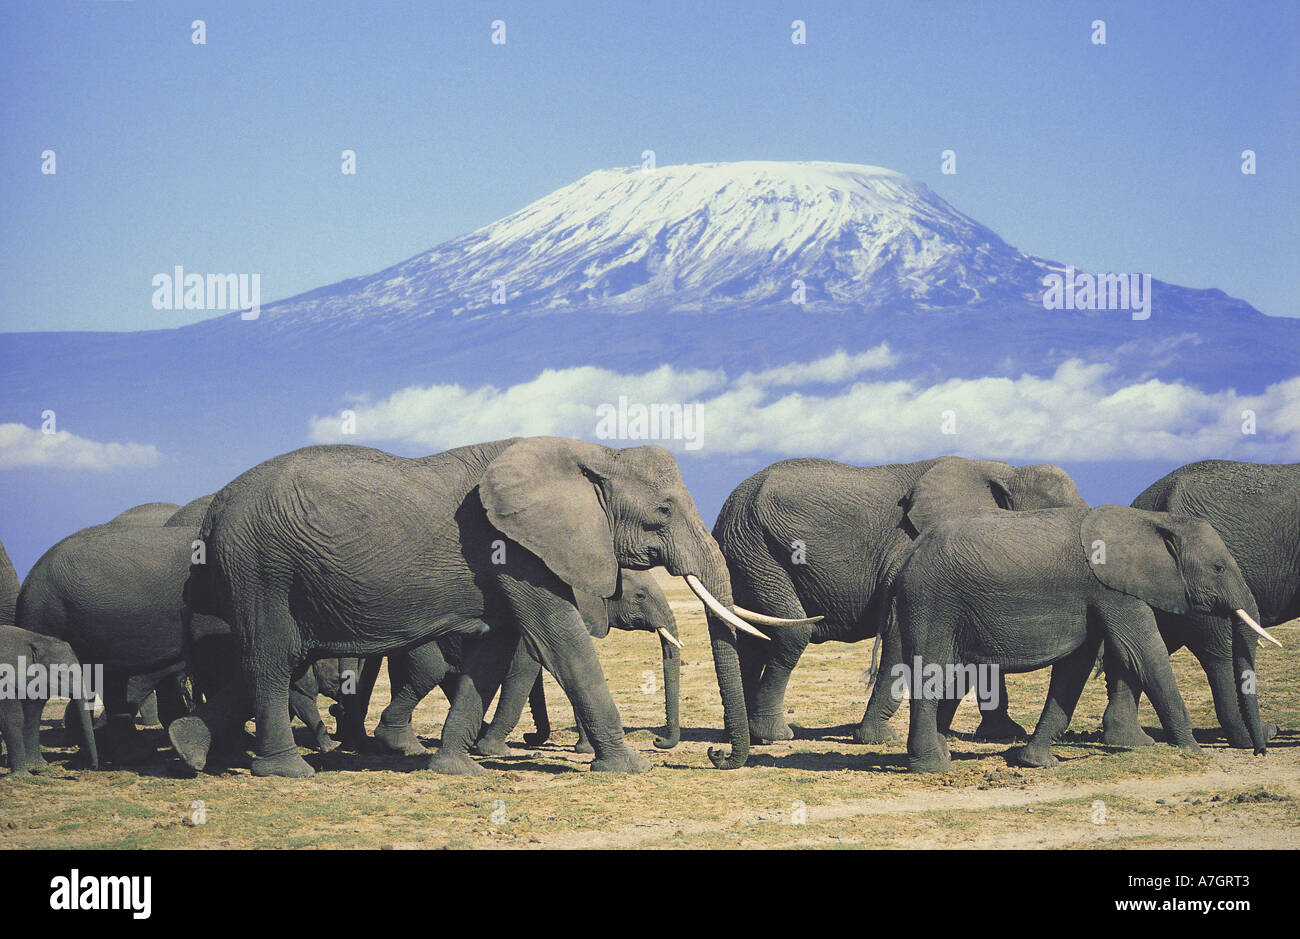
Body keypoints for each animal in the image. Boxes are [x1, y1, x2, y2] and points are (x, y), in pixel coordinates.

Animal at [167, 436, 795, 775]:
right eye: (662, 510)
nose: (711, 756)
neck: (592, 453)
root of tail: (212, 512)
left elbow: (492, 654)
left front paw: (457, 768)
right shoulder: (515, 547)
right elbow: (560, 643)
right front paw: (629, 768)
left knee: (273, 661)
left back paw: (188, 749)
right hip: (260, 565)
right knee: (271, 660)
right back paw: (288, 770)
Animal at [702, 449, 1086, 764]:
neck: (1005, 471)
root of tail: (728, 504)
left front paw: (1005, 733)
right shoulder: (912, 551)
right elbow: (899, 633)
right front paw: (880, 739)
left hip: (745, 554)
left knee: (752, 638)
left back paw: (739, 734)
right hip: (757, 549)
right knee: (791, 632)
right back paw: (774, 735)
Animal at [889, 502, 1274, 769]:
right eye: (1218, 568)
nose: (1260, 750)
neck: (1151, 520)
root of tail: (907, 554)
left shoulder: (1092, 595)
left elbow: (1074, 669)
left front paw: (1036, 762)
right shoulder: (1113, 589)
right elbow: (1143, 655)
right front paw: (1192, 753)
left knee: (955, 678)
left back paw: (943, 756)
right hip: (932, 601)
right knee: (933, 673)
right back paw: (933, 767)